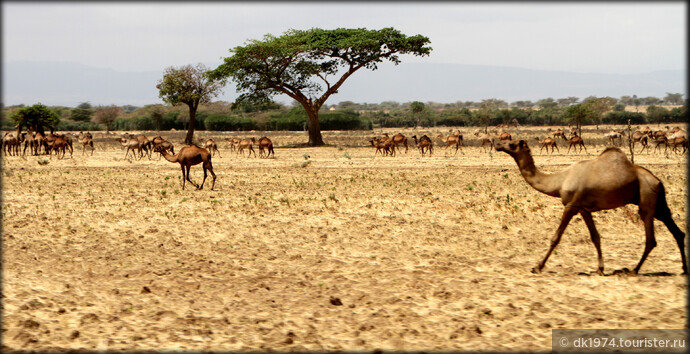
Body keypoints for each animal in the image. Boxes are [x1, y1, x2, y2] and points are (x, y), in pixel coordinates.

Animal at [494, 140, 684, 276]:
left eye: (511, 144)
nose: (497, 145)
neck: (559, 181)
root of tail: (658, 181)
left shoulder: (571, 205)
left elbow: (556, 237)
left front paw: (537, 267)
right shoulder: (583, 209)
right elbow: (595, 237)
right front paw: (599, 269)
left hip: (647, 201)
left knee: (651, 238)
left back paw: (633, 270)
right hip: (659, 205)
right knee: (677, 231)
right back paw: (684, 269)